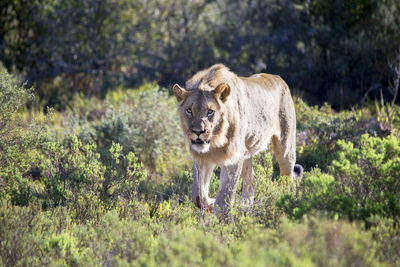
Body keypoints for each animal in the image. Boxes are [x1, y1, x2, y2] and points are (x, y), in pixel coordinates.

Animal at [173, 64, 302, 214]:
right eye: (189, 110)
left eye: (210, 111)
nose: (198, 132)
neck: (216, 139)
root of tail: (278, 78)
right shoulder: (202, 158)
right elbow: (198, 195)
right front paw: (210, 203)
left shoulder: (233, 158)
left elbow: (225, 196)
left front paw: (219, 215)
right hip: (245, 152)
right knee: (251, 179)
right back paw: (245, 205)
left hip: (285, 145)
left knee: (287, 177)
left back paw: (285, 200)